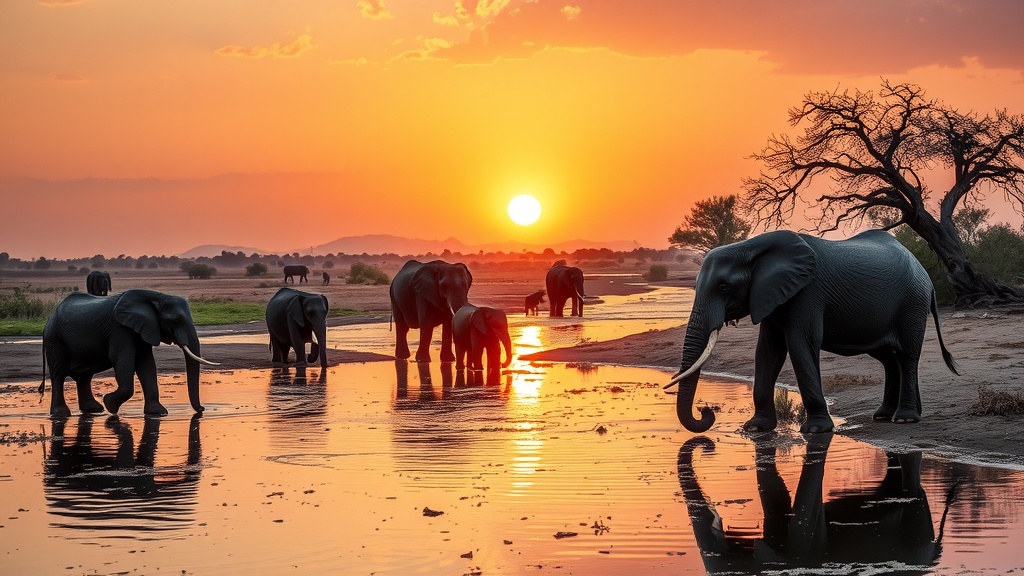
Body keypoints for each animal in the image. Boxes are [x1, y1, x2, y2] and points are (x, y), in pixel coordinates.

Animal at [40, 289, 218, 414]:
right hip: (55, 340)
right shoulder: (119, 329)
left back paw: (94, 410)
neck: (155, 296)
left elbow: (146, 364)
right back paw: (62, 413)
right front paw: (110, 404)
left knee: (84, 376)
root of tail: (49, 319)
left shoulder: (145, 328)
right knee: (59, 375)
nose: (202, 409)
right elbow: (122, 360)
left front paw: (158, 413)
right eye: (174, 320)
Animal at [667, 227, 954, 430]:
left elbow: (800, 344)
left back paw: (904, 419)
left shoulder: (808, 293)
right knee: (888, 358)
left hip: (912, 303)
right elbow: (768, 352)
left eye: (725, 287)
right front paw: (756, 428)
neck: (752, 247)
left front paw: (816, 430)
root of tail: (926, 275)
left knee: (906, 355)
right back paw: (886, 415)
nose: (706, 412)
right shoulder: (770, 295)